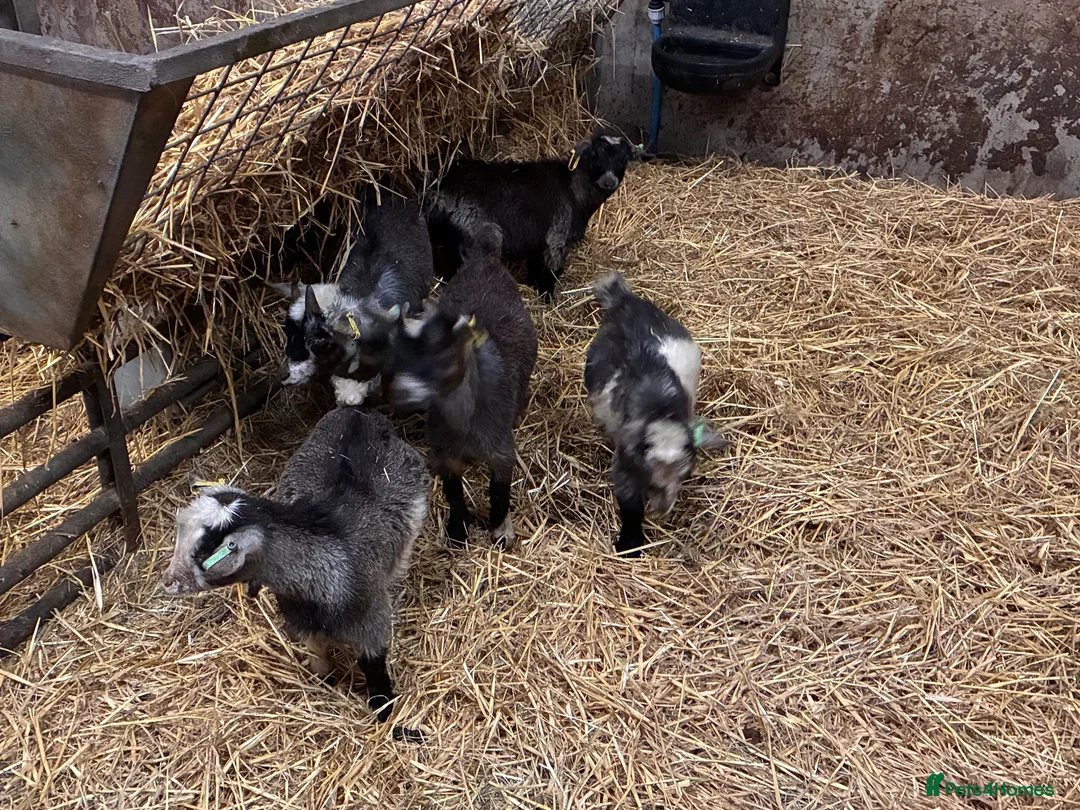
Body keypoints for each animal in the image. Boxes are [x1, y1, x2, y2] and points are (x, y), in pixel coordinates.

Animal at [162, 407, 431, 725]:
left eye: (204, 551)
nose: (168, 580)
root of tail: (357, 413)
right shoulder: (301, 620)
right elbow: (318, 657)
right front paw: (323, 680)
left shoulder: (371, 618)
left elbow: (374, 666)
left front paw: (384, 708)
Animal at [381, 225, 537, 549]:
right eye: (401, 353)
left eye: (448, 356)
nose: (402, 392)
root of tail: (484, 257)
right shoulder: (444, 454)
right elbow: (453, 492)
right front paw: (457, 530)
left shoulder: (502, 450)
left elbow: (500, 491)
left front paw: (500, 529)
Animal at [427, 132, 636, 298]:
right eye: (595, 155)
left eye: (624, 159)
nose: (609, 181)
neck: (574, 190)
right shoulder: (556, 238)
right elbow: (551, 273)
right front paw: (547, 300)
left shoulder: (538, 241)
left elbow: (534, 267)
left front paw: (531, 285)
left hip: (443, 242)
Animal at [585, 273, 728, 556]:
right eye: (650, 481)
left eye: (685, 474)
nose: (661, 510)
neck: (661, 412)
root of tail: (629, 302)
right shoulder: (626, 466)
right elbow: (629, 505)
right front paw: (630, 544)